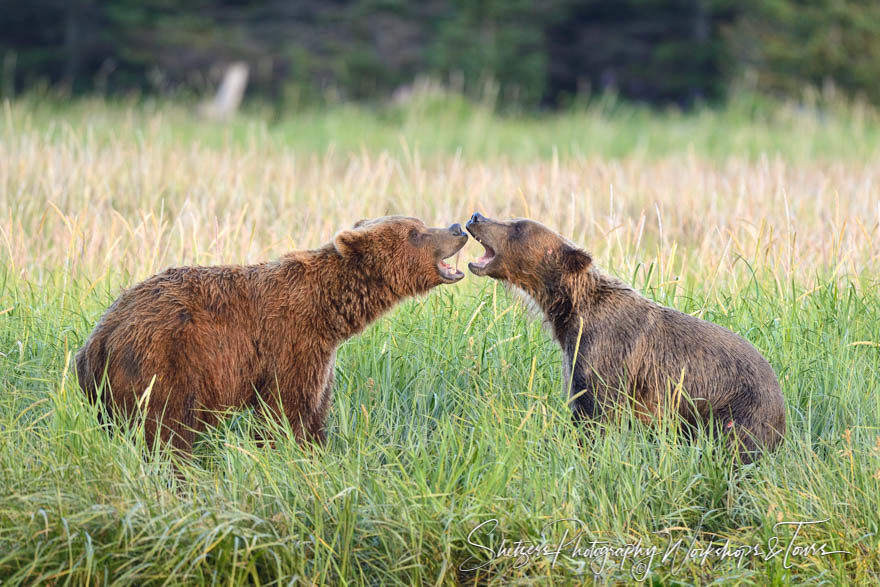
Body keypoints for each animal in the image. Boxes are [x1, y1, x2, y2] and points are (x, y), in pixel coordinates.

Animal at [79, 216, 470, 450]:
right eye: (415, 232)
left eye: (420, 223)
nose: (457, 228)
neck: (329, 312)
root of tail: (100, 335)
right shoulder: (291, 342)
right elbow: (286, 410)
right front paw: (287, 454)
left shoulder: (322, 357)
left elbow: (316, 413)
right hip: (162, 362)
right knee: (165, 431)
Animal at [468, 212, 784, 464]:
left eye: (517, 226)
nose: (476, 216)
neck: (569, 311)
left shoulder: (604, 351)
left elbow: (594, 414)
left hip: (737, 408)